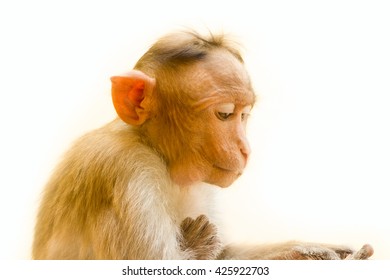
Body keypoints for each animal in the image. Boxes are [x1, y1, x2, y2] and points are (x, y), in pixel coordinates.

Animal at [32, 30, 374, 260]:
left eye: (244, 115)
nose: (245, 148)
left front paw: (306, 252)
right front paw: (197, 245)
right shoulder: (127, 172)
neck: (157, 151)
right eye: (224, 114)